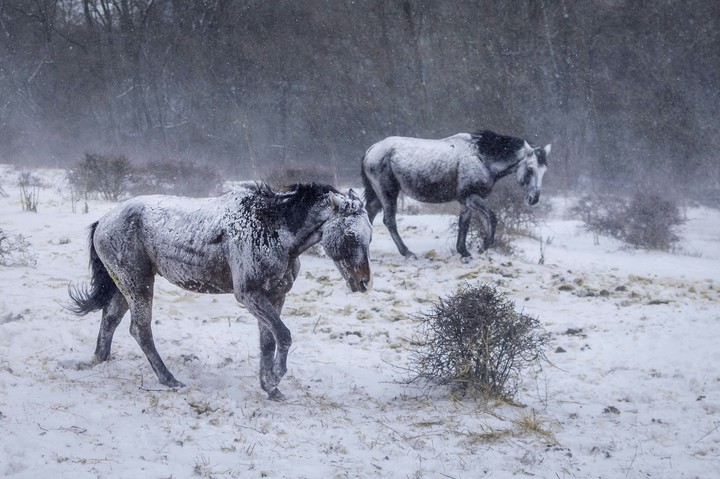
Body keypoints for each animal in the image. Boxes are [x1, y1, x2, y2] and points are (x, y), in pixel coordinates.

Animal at [68, 182, 372, 400]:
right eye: (350, 236)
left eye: (369, 235)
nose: (364, 283)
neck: (272, 230)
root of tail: (103, 221)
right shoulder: (250, 295)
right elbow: (283, 336)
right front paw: (275, 378)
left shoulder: (275, 296)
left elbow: (268, 341)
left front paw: (270, 387)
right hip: (137, 284)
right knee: (140, 330)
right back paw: (169, 380)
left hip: (126, 285)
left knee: (110, 319)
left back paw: (99, 360)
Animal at [361, 130, 550, 260]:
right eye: (530, 169)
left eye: (544, 170)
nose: (534, 199)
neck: (481, 158)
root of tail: (372, 150)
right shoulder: (472, 197)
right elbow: (492, 217)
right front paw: (483, 246)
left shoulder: (465, 201)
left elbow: (464, 224)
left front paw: (464, 251)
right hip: (388, 193)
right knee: (389, 221)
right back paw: (407, 252)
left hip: (378, 196)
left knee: (369, 216)